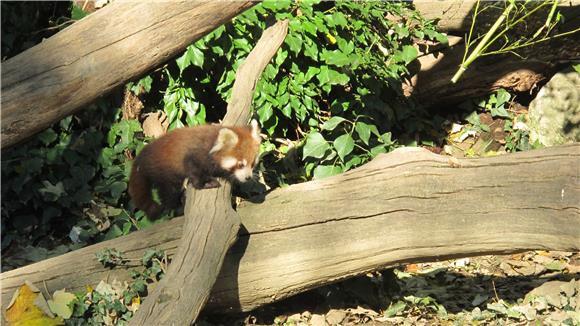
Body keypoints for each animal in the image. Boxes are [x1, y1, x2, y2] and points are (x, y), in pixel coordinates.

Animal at [130, 119, 262, 219]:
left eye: (252, 164)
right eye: (241, 165)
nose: (248, 177)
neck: (212, 143)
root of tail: (142, 156)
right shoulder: (194, 156)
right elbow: (195, 173)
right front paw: (206, 183)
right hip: (164, 171)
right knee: (169, 191)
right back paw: (175, 207)